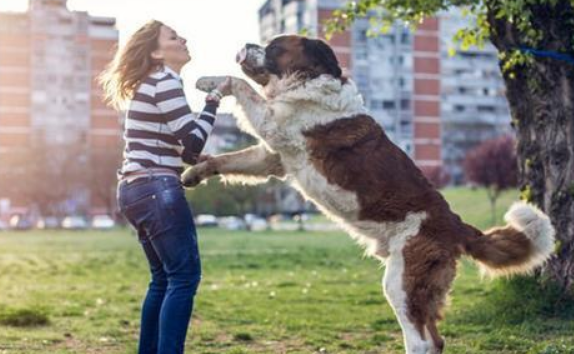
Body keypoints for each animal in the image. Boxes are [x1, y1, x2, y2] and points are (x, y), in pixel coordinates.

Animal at [182, 34, 556, 354]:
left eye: (274, 47)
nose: (246, 44)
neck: (307, 80)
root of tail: (456, 223)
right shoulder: (273, 156)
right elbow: (230, 159)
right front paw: (194, 171)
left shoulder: (275, 126)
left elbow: (240, 84)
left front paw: (210, 81)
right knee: (435, 340)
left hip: (402, 282)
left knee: (423, 341)